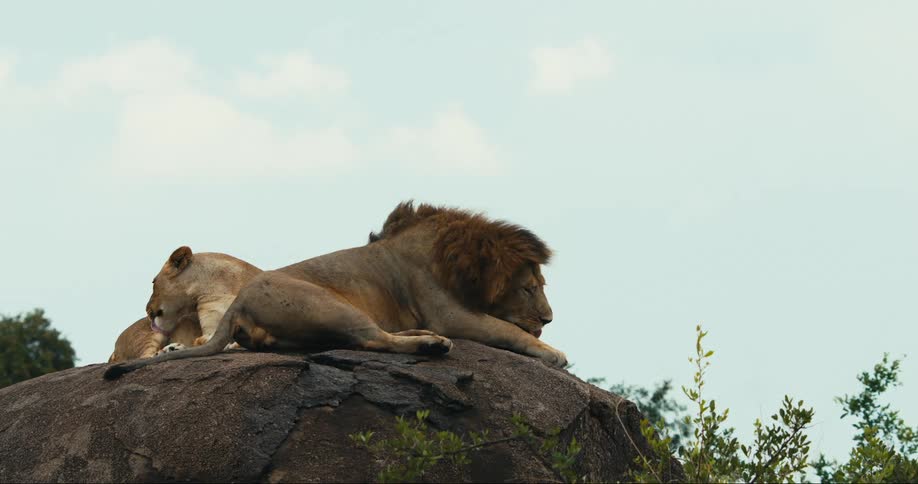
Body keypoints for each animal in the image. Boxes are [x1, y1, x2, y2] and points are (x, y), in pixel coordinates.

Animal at [104, 202, 565, 379]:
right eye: (529, 289)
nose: (549, 318)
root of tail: (242, 302)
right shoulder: (448, 312)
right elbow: (507, 330)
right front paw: (553, 353)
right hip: (329, 303)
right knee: (373, 339)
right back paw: (431, 344)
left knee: (368, 336)